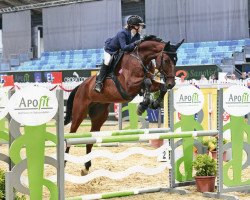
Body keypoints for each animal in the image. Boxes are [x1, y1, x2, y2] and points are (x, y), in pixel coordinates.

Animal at [64, 36, 184, 175]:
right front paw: (143, 105)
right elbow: (146, 82)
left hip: (99, 116)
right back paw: (65, 161)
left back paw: (86, 167)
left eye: (176, 60)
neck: (141, 59)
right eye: (165, 60)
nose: (172, 84)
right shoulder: (128, 86)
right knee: (71, 136)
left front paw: (153, 103)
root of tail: (81, 86)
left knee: (90, 140)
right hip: (79, 113)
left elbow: (159, 86)